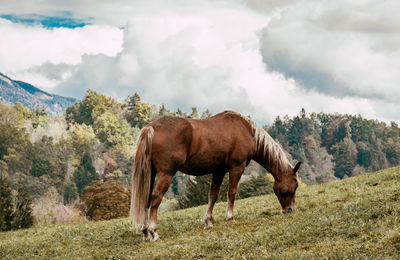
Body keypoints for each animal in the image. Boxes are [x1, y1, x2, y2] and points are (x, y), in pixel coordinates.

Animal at [130, 109, 302, 242]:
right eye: (295, 185)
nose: (290, 209)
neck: (246, 130)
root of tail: (152, 127)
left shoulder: (218, 171)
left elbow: (213, 195)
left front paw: (208, 221)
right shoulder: (236, 168)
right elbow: (231, 193)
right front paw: (230, 217)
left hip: (150, 173)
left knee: (146, 198)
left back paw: (145, 232)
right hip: (166, 174)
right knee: (156, 197)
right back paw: (153, 232)